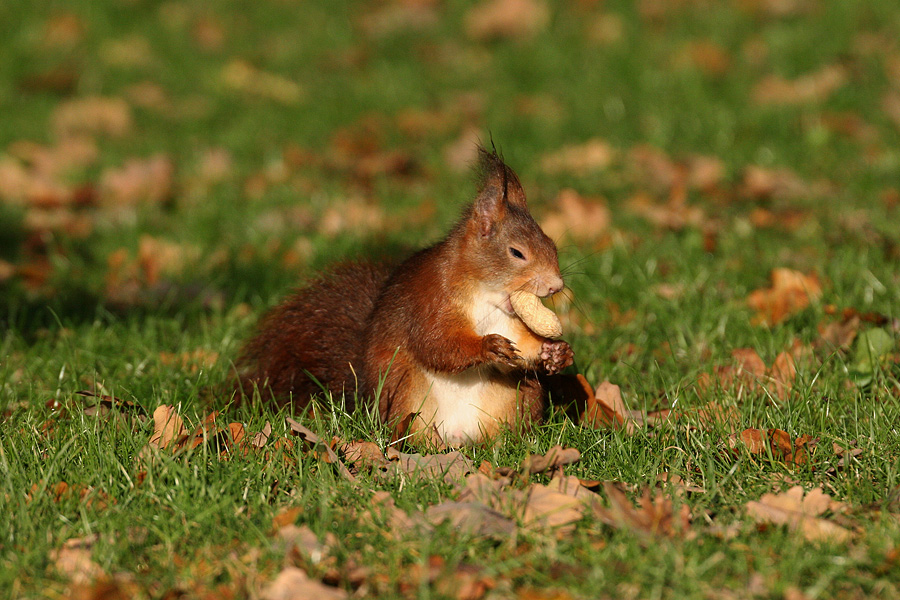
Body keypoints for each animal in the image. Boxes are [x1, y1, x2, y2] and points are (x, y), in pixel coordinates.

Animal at [237, 145, 576, 446]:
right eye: (516, 253)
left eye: (552, 245)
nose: (555, 286)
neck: (485, 295)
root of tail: (458, 438)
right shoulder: (430, 299)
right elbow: (437, 343)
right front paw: (487, 346)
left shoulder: (509, 320)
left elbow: (523, 344)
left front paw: (556, 352)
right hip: (404, 392)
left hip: (518, 398)